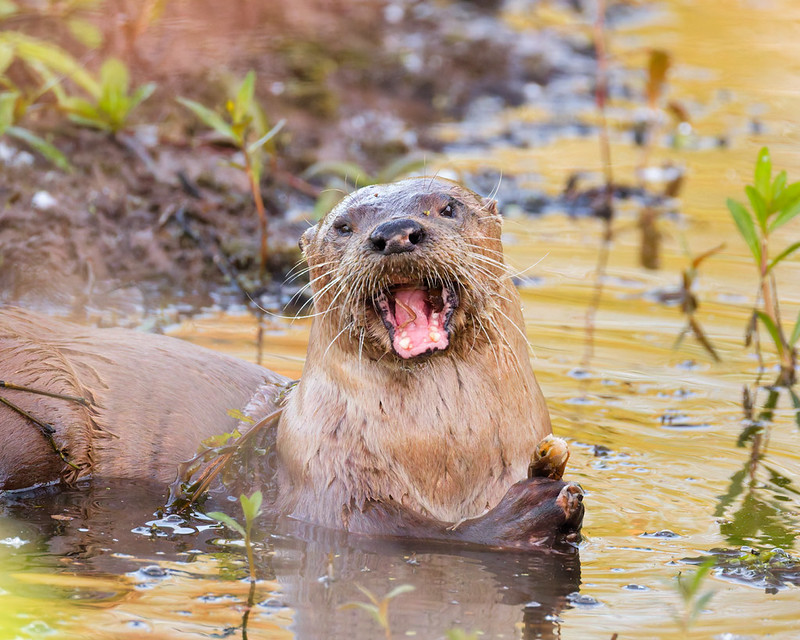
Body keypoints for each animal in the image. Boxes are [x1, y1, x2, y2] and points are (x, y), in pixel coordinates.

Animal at [0, 178, 584, 549]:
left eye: (447, 207)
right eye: (344, 226)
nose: (395, 231)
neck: (447, 452)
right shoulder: (319, 470)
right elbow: (393, 531)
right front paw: (525, 515)